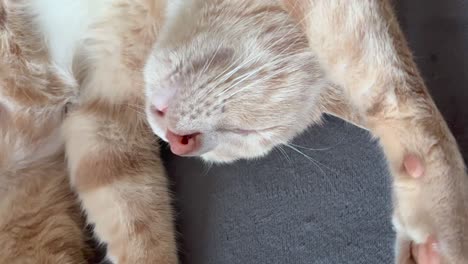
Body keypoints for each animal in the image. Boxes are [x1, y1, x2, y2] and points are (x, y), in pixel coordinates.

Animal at [1, 0, 466, 264]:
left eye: (238, 135)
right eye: (248, 126)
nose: (179, 145)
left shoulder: (106, 121)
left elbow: (137, 220)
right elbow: (391, 81)